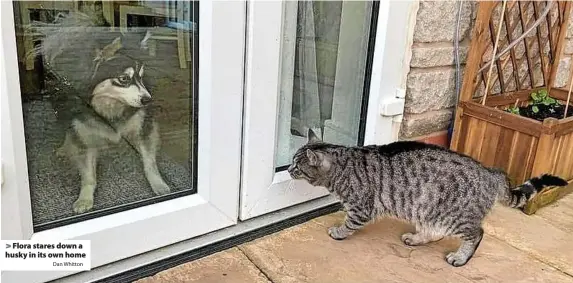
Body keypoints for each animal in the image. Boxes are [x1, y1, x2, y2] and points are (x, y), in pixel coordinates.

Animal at [288, 130, 564, 268]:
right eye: (291, 161)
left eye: (297, 166)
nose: (288, 170)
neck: (343, 165)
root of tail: (491, 172)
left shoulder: (360, 209)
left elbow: (349, 224)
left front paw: (338, 232)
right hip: (427, 210)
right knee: (435, 232)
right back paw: (416, 238)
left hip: (457, 217)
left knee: (476, 234)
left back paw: (460, 258)